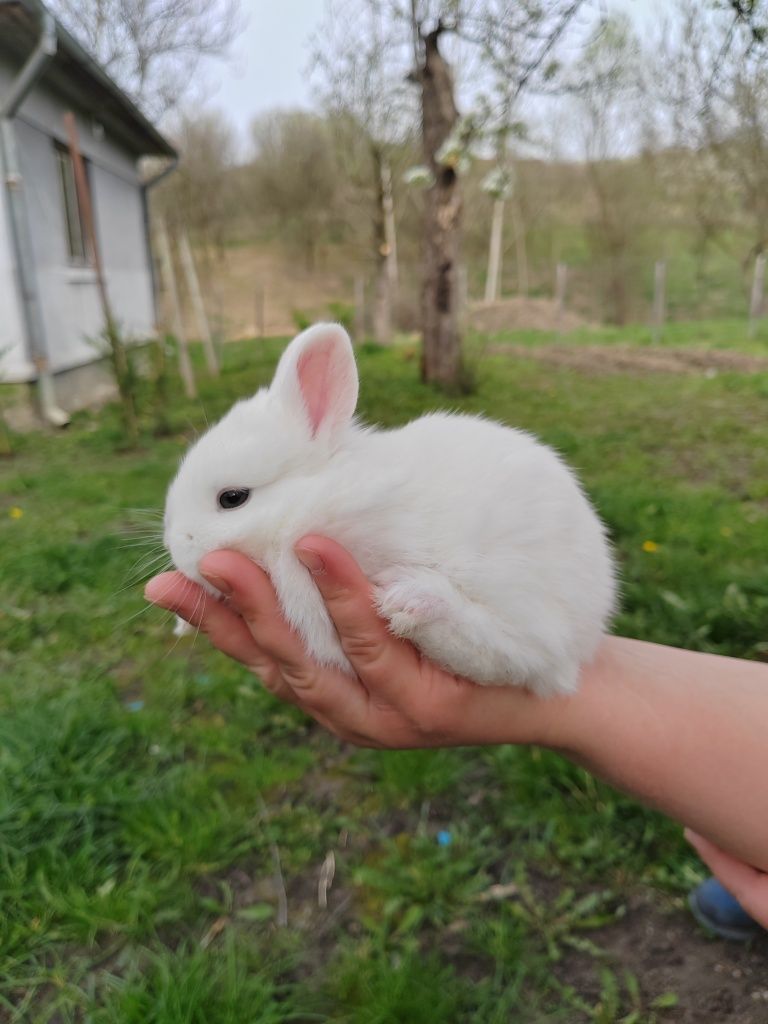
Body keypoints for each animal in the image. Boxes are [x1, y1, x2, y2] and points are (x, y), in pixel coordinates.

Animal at [165, 323, 618, 700]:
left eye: (232, 498)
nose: (176, 545)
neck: (312, 500)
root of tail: (591, 625)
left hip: (518, 587)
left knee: (516, 653)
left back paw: (415, 600)